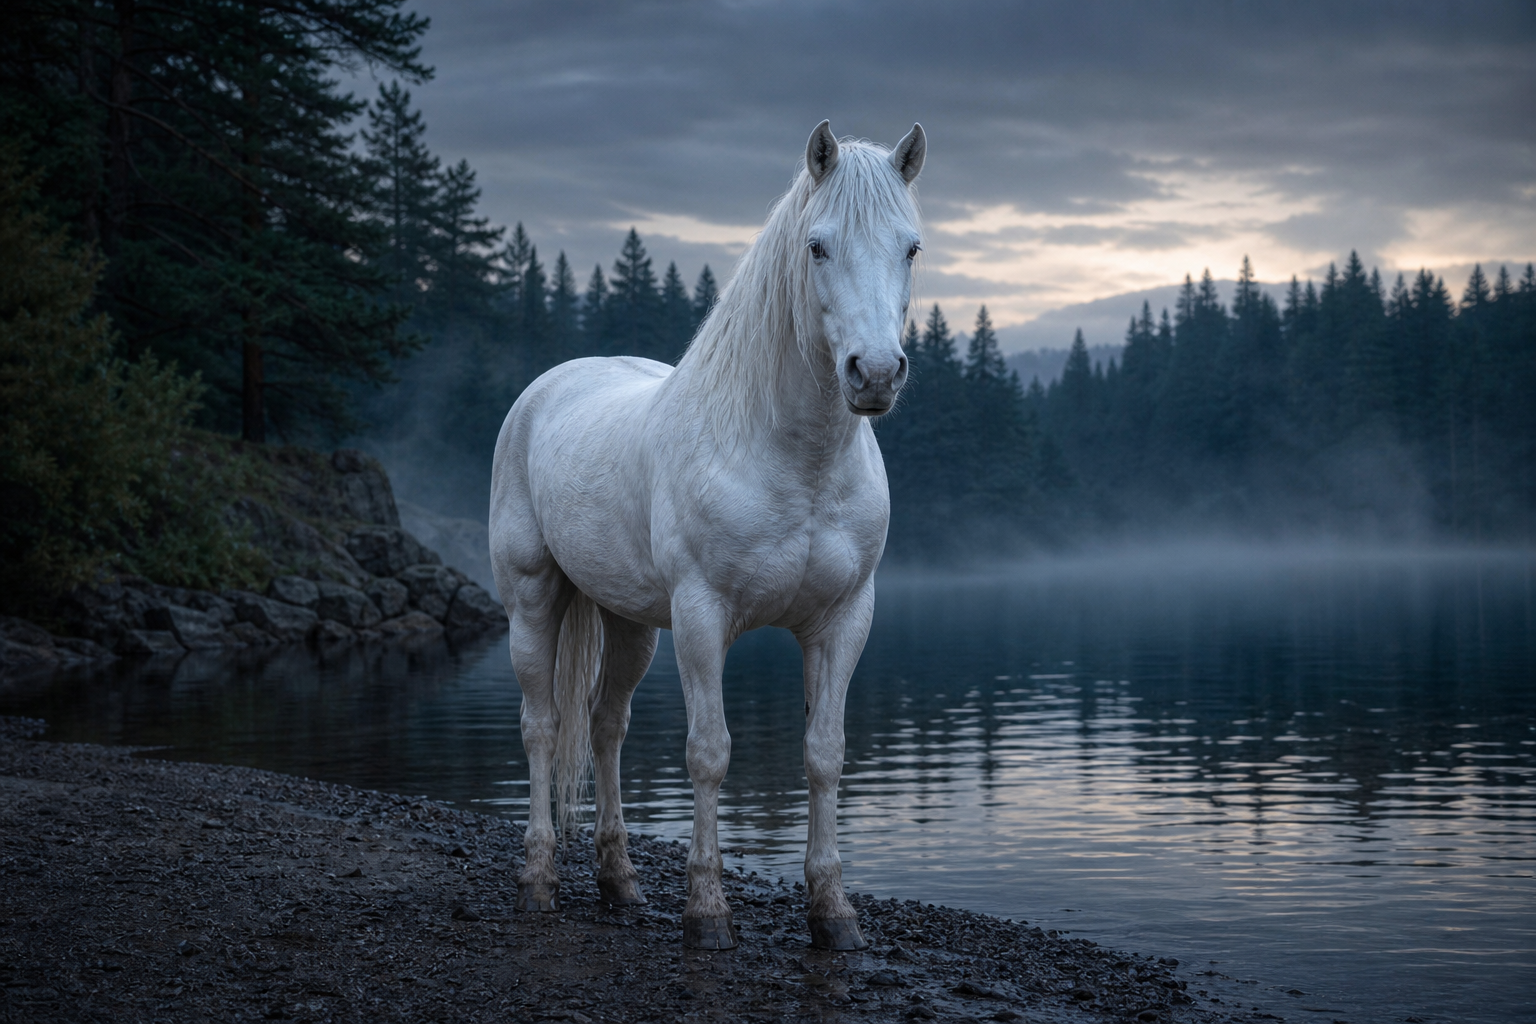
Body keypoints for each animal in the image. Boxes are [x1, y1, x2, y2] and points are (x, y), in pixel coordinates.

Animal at [489, 119, 925, 950]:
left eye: (911, 247)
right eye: (817, 246)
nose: (877, 374)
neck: (793, 460)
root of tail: (546, 387)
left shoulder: (843, 619)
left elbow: (825, 755)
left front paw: (833, 914)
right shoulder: (702, 617)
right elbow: (710, 754)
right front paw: (707, 913)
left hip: (630, 622)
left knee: (606, 726)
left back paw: (620, 882)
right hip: (532, 599)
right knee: (541, 726)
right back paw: (536, 881)